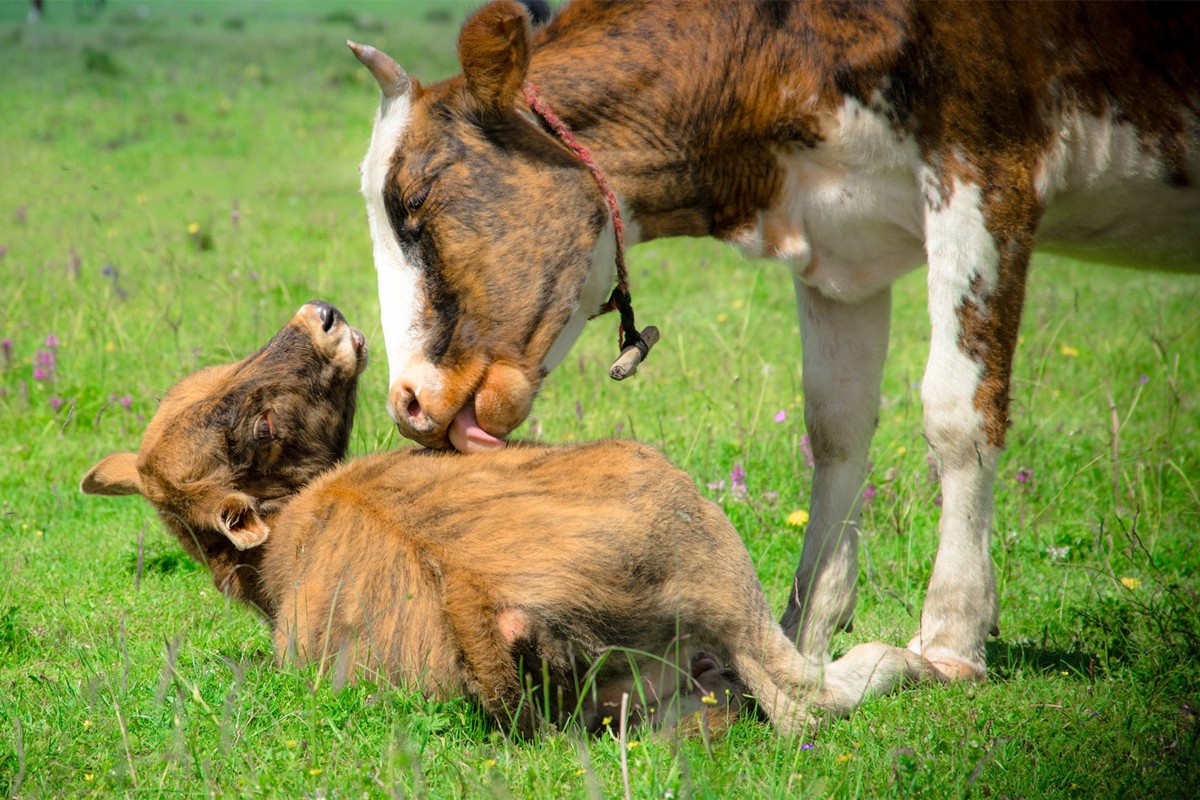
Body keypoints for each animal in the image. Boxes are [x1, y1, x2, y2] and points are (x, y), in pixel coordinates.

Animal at [82, 302, 936, 738]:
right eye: (256, 424)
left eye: (213, 379)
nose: (320, 316)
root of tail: (486, 598)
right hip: (712, 559)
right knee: (809, 696)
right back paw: (917, 660)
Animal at [348, 0, 1200, 690]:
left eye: (414, 201)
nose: (407, 399)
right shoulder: (840, 243)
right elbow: (836, 425)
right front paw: (808, 629)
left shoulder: (987, 170)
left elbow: (958, 412)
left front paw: (953, 634)